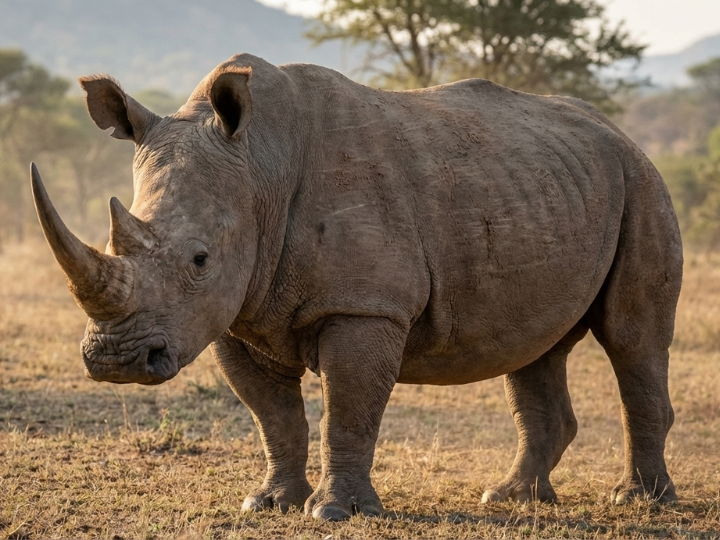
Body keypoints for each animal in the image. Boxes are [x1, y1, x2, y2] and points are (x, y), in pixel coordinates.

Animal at [32, 53, 682, 520]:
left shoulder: (365, 307)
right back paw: (511, 498)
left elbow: (347, 407)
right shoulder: (232, 313)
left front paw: (336, 512)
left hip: (642, 182)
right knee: (533, 349)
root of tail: (619, 132)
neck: (259, 169)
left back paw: (639, 501)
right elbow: (273, 415)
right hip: (548, 186)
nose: (115, 361)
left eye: (199, 259)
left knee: (633, 340)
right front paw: (270, 503)